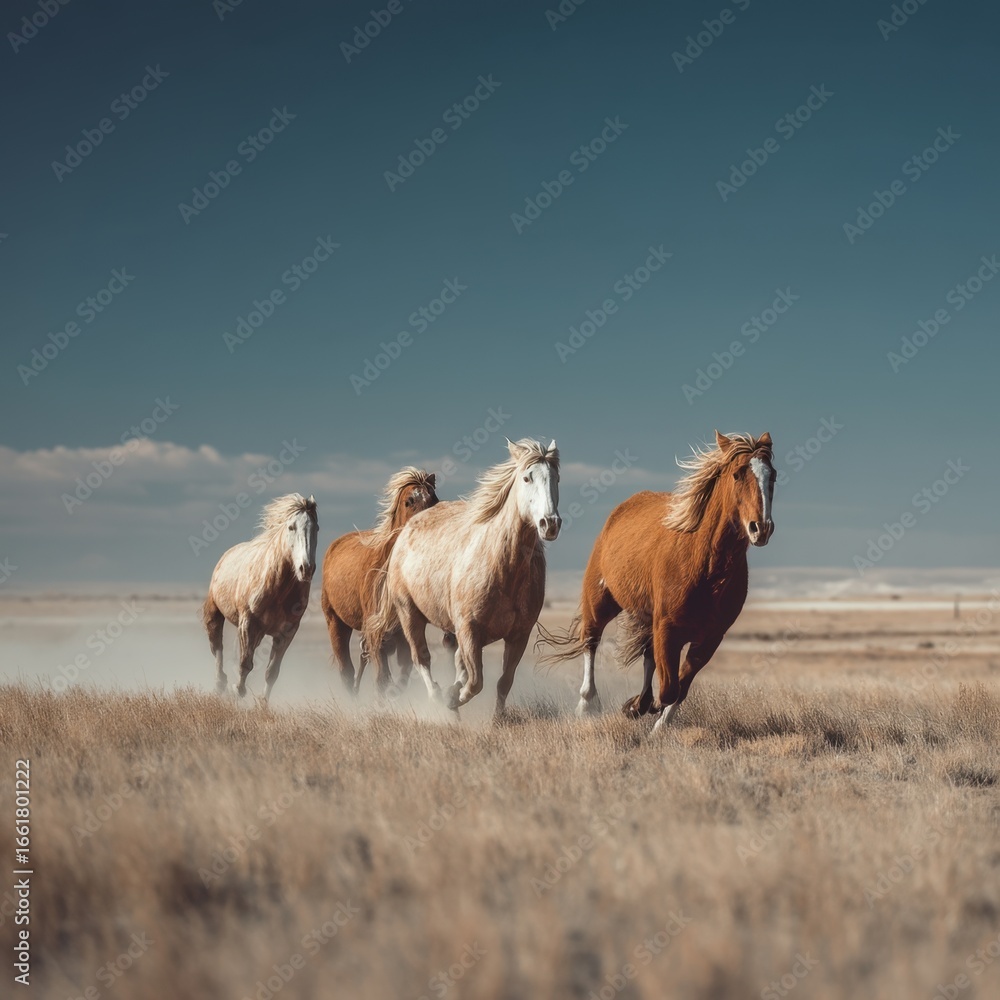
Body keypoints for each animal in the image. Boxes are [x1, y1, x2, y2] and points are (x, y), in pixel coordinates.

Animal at [202, 493, 318, 702]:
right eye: (291, 527)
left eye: (316, 528)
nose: (306, 569)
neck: (279, 589)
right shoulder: (248, 624)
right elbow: (245, 664)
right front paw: (237, 691)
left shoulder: (286, 633)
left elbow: (271, 672)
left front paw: (262, 703)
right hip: (215, 613)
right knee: (217, 647)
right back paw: (220, 684)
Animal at [320, 467, 453, 695]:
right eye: (409, 501)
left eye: (434, 499)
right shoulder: (376, 631)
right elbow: (381, 678)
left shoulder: (403, 632)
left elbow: (403, 673)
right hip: (336, 623)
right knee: (346, 670)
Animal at [364, 438, 561, 720]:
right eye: (526, 477)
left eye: (556, 478)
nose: (550, 524)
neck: (504, 569)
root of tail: (408, 527)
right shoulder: (469, 630)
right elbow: (476, 681)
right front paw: (451, 698)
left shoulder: (518, 635)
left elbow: (503, 681)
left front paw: (496, 719)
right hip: (409, 614)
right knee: (421, 658)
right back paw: (439, 698)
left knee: (455, 659)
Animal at [538, 431, 774, 732]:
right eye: (737, 474)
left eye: (772, 476)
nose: (761, 528)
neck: (706, 567)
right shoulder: (668, 629)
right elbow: (669, 689)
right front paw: (639, 710)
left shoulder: (709, 639)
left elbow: (680, 687)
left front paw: (652, 721)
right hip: (599, 599)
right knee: (590, 641)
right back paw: (587, 705)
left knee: (647, 658)